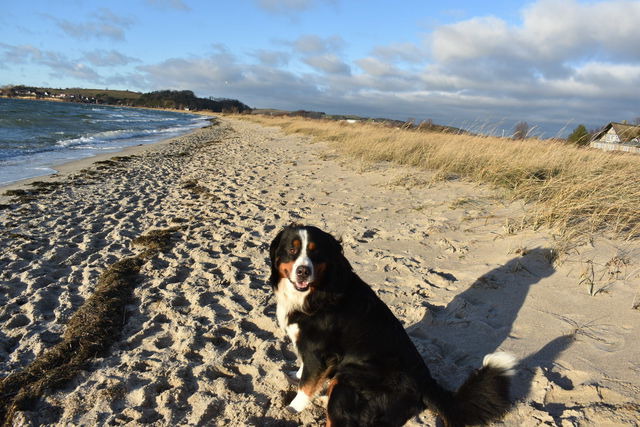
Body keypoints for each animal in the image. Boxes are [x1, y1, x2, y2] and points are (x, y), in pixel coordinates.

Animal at [268, 224, 516, 427]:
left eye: (315, 252)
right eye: (292, 250)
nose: (303, 271)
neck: (315, 292)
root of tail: (426, 383)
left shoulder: (318, 350)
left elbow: (307, 385)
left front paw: (293, 408)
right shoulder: (308, 348)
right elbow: (305, 370)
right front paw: (296, 374)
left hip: (349, 381)